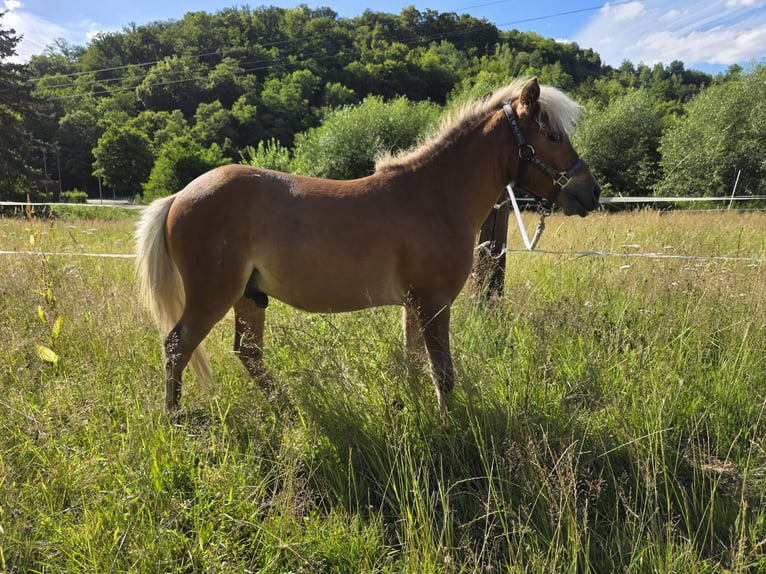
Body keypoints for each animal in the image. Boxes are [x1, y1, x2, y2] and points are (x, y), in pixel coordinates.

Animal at [135, 76, 601, 417]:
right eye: (553, 136)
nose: (591, 192)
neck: (434, 195)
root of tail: (178, 196)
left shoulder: (414, 304)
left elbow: (414, 362)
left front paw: (417, 409)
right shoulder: (433, 302)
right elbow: (442, 371)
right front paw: (449, 423)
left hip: (250, 296)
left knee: (247, 353)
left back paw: (289, 409)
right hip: (213, 297)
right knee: (177, 346)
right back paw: (175, 418)